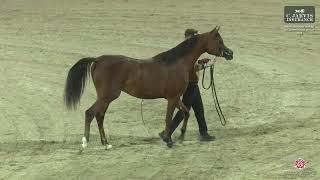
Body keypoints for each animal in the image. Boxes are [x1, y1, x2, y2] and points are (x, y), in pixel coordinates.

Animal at [63, 26, 234, 148]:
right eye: (218, 41)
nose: (230, 53)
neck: (177, 63)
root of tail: (97, 60)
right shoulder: (172, 98)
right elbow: (168, 118)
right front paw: (168, 140)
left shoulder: (176, 97)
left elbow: (186, 112)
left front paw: (181, 137)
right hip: (107, 97)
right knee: (90, 113)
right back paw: (86, 142)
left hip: (106, 98)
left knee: (99, 116)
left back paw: (106, 143)